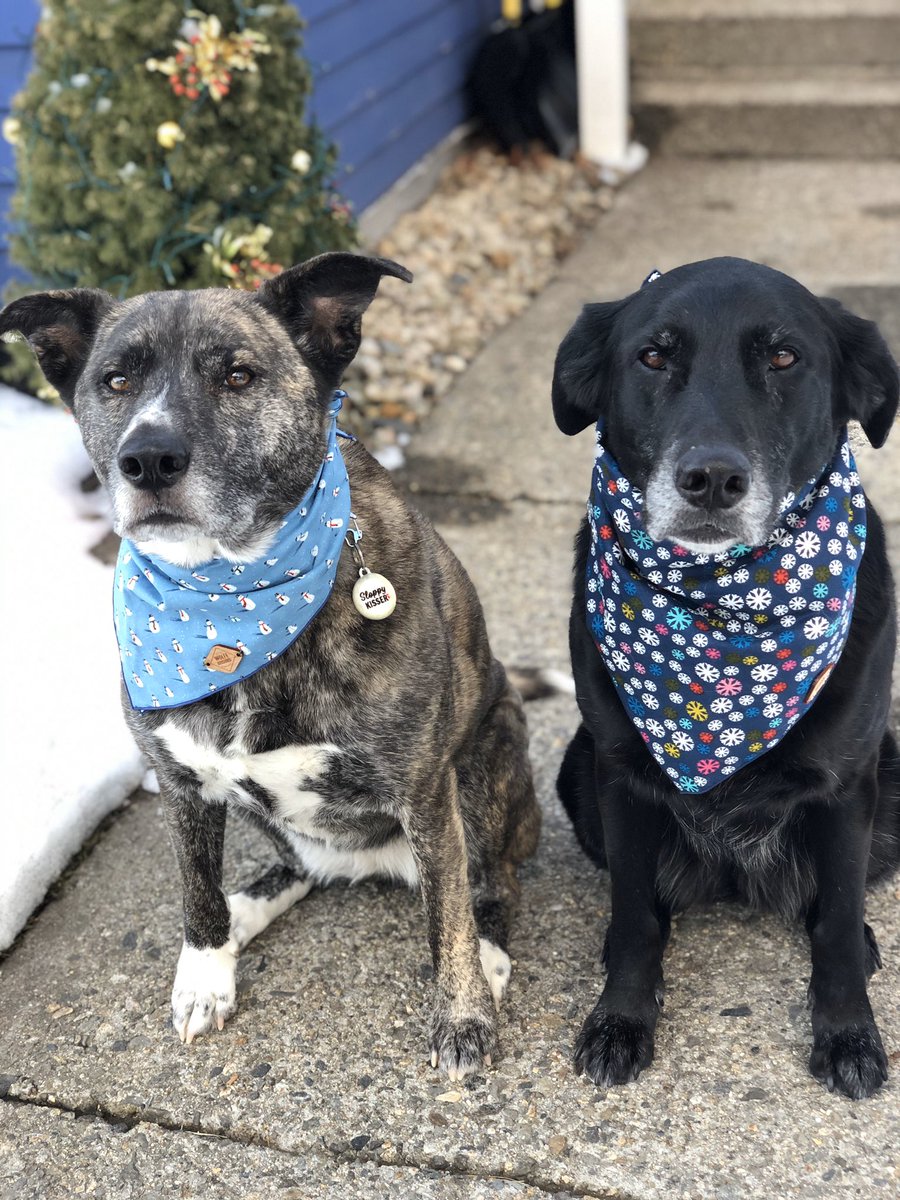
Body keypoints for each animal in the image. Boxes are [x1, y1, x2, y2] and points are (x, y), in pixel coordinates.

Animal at [1, 253, 542, 1080]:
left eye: (238, 375)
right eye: (116, 380)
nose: (147, 459)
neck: (229, 602)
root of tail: (372, 864)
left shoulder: (426, 788)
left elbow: (446, 912)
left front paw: (463, 1012)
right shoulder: (180, 782)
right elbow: (196, 889)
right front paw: (204, 972)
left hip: (489, 758)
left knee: (492, 882)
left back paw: (491, 955)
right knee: (296, 871)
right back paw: (243, 918)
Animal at [554, 258, 897, 1099]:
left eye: (783, 357)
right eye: (652, 356)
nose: (710, 478)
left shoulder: (847, 786)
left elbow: (834, 925)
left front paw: (849, 1034)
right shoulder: (619, 775)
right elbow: (637, 918)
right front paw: (621, 1020)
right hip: (576, 774)